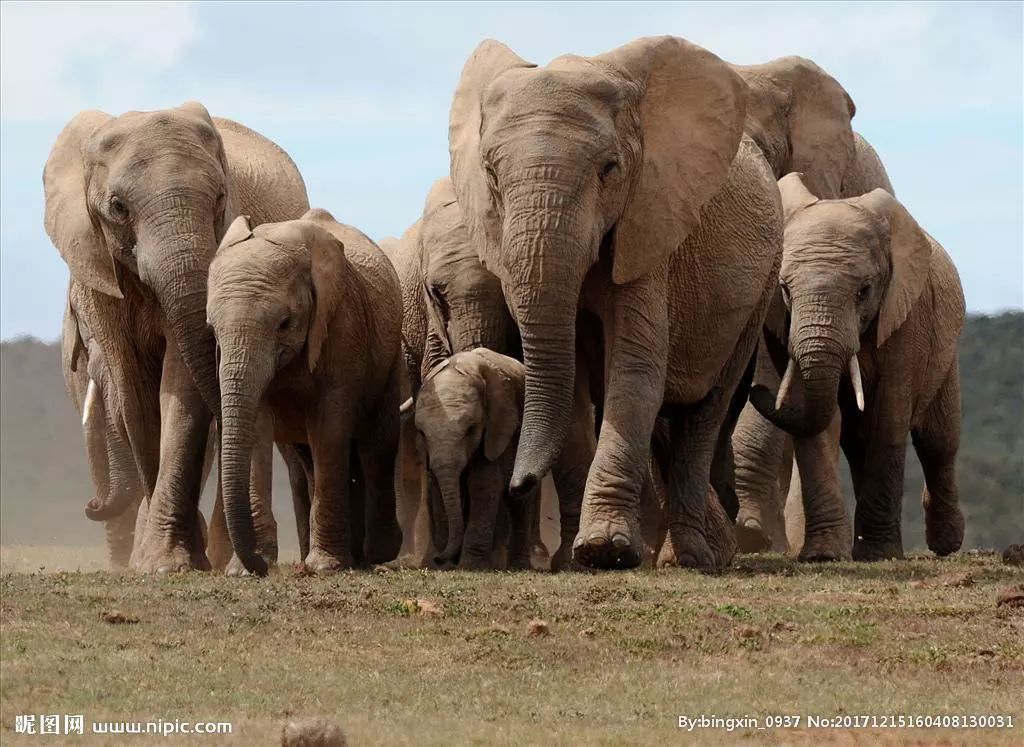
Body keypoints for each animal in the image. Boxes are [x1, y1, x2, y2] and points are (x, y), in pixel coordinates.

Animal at [44, 101, 307, 569]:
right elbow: (134, 394)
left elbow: (181, 386)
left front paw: (170, 561)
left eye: (220, 198)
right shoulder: (97, 273)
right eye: (118, 207)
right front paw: (163, 560)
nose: (90, 506)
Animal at [207, 206, 403, 573]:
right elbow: (257, 430)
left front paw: (324, 566)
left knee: (377, 445)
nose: (262, 567)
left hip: (390, 359)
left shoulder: (343, 326)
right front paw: (242, 571)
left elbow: (329, 429)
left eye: (284, 323)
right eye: (212, 329)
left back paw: (376, 555)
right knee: (309, 458)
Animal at [409, 346, 585, 569]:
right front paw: (447, 565)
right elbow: (439, 485)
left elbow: (484, 483)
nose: (439, 558)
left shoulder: (498, 425)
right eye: (422, 433)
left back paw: (518, 566)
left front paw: (469, 566)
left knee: (518, 502)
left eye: (471, 429)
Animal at [450, 34, 782, 569]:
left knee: (704, 411)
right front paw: (580, 560)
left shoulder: (650, 223)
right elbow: (576, 386)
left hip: (762, 284)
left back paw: (690, 558)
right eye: (491, 175)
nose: (519, 485)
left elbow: (636, 368)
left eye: (609, 170)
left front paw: (605, 550)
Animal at [749, 175, 962, 557]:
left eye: (864, 291)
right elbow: (817, 420)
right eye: (784, 289)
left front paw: (879, 555)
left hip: (946, 349)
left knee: (938, 442)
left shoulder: (907, 318)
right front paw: (822, 555)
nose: (757, 388)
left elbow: (890, 416)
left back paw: (946, 544)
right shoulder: (781, 324)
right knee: (860, 442)